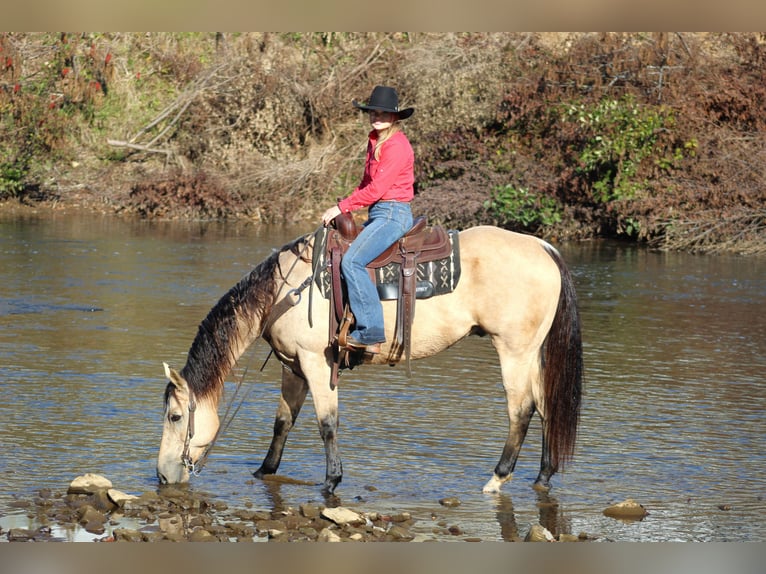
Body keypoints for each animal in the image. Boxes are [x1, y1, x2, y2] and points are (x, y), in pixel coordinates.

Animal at [159, 224, 584, 496]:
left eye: (175, 416)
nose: (163, 476)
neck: (285, 291)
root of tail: (544, 248)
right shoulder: (293, 367)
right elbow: (283, 422)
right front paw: (264, 470)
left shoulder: (317, 364)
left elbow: (327, 424)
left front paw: (331, 481)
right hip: (531, 354)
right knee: (547, 406)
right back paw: (543, 477)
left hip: (514, 351)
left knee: (521, 410)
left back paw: (497, 479)